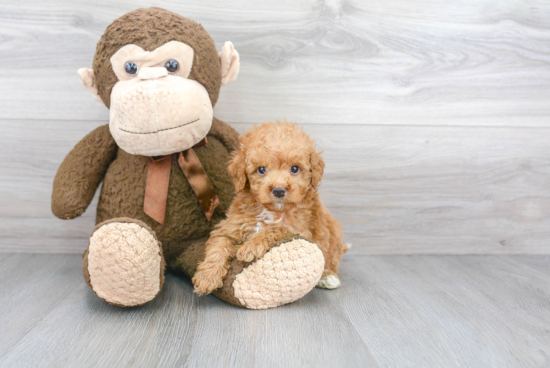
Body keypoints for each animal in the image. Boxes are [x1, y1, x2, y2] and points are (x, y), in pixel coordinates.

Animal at [194, 121, 350, 296]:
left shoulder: (299, 230)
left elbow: (275, 229)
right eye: (261, 169)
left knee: (329, 258)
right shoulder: (230, 226)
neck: (271, 211)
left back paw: (328, 276)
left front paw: (251, 246)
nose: (279, 190)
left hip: (332, 236)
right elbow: (219, 246)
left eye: (295, 169)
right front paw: (207, 277)